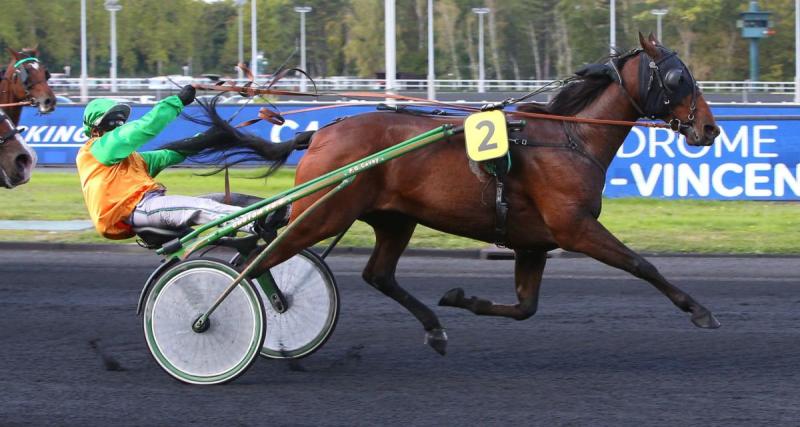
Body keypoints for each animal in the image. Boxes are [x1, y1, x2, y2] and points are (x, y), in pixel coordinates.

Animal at [172, 33, 720, 356]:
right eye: (678, 77)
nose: (711, 129)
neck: (569, 138)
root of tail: (322, 132)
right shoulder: (575, 227)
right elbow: (640, 264)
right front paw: (699, 309)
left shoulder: (533, 242)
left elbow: (525, 307)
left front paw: (462, 298)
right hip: (324, 212)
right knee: (258, 258)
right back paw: (207, 318)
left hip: (393, 218)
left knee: (374, 274)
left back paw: (433, 326)